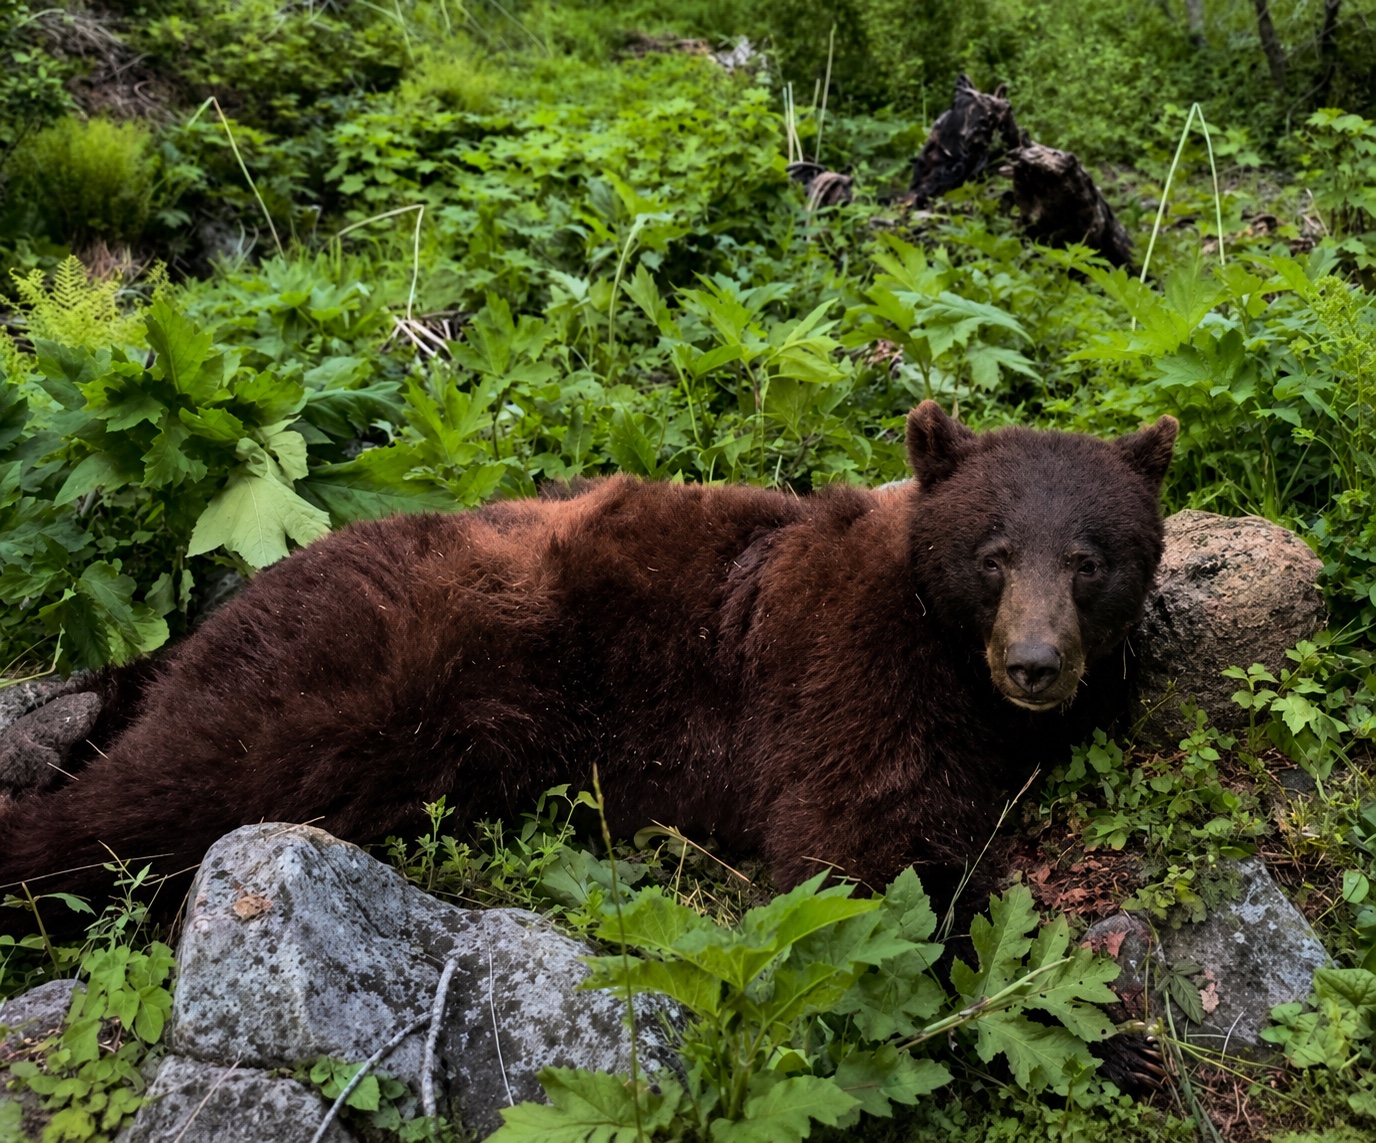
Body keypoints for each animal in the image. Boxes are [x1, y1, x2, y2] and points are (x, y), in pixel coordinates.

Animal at [0, 402, 1177, 930]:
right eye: (993, 555)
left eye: (1090, 559)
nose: (1035, 664)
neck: (945, 646)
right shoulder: (841, 656)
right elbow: (857, 842)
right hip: (350, 660)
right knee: (166, 787)